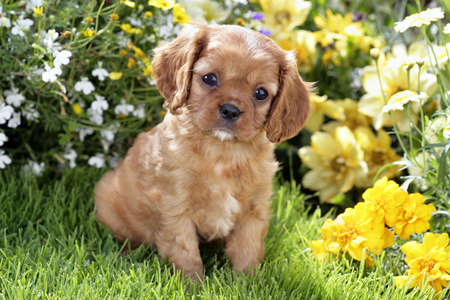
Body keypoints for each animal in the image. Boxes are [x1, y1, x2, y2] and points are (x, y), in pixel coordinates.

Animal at [94, 21, 312, 282]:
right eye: (209, 78)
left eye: (261, 93)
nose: (230, 110)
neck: (223, 153)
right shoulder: (175, 208)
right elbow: (185, 254)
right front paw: (192, 286)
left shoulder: (253, 211)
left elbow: (248, 252)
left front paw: (247, 284)